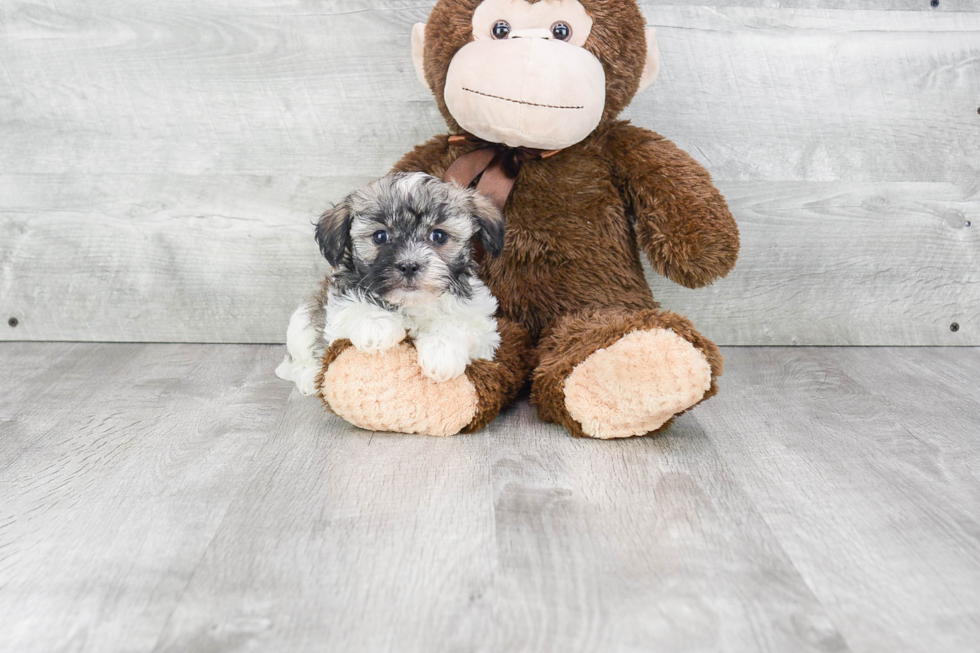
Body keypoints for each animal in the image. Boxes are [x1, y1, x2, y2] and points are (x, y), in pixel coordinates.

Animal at [276, 171, 506, 394]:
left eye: (439, 235)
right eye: (380, 236)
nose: (409, 265)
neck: (413, 303)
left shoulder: (483, 327)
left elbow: (458, 324)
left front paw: (441, 352)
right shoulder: (338, 311)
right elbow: (353, 309)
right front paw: (377, 326)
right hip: (301, 323)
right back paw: (309, 378)